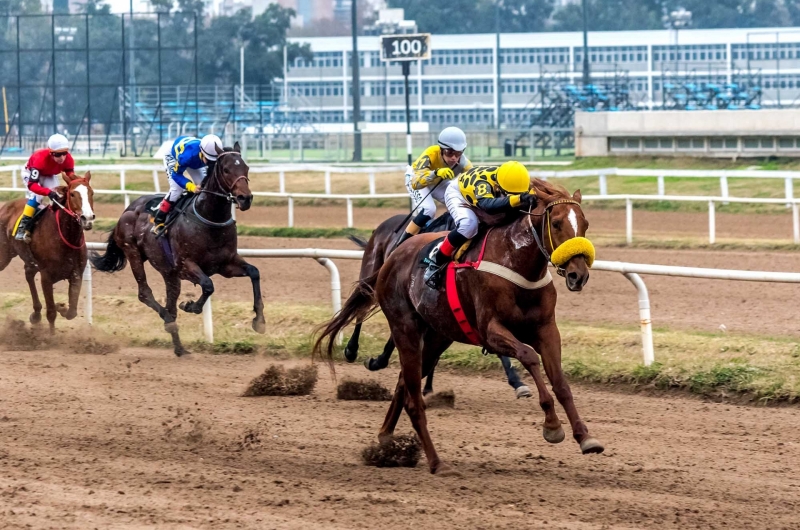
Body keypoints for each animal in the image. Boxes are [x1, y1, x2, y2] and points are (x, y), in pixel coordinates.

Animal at [0, 171, 96, 328]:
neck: (66, 238)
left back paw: (36, 313)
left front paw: (61, 307)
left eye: (91, 192)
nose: (87, 218)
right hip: (4, 255)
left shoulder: (76, 274)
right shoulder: (46, 276)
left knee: (28, 274)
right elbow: (51, 313)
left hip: (29, 260)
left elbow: (72, 312)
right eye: (72, 194)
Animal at [90, 143, 266, 354]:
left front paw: (259, 321)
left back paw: (180, 348)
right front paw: (190, 306)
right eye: (226, 169)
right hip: (134, 254)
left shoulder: (226, 264)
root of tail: (127, 210)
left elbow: (254, 272)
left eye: (246, 168)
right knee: (146, 294)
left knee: (170, 305)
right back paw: (168, 321)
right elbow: (208, 285)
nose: (245, 198)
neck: (210, 219)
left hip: (169, 274)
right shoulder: (185, 265)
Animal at [316, 179, 604, 472]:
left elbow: (561, 383)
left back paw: (386, 437)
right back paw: (433, 460)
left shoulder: (546, 330)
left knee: (403, 384)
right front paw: (552, 425)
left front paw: (585, 437)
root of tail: (394, 256)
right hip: (404, 327)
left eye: (585, 223)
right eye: (556, 223)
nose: (578, 275)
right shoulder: (491, 330)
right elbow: (529, 356)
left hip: (437, 336)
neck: (516, 262)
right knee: (410, 395)